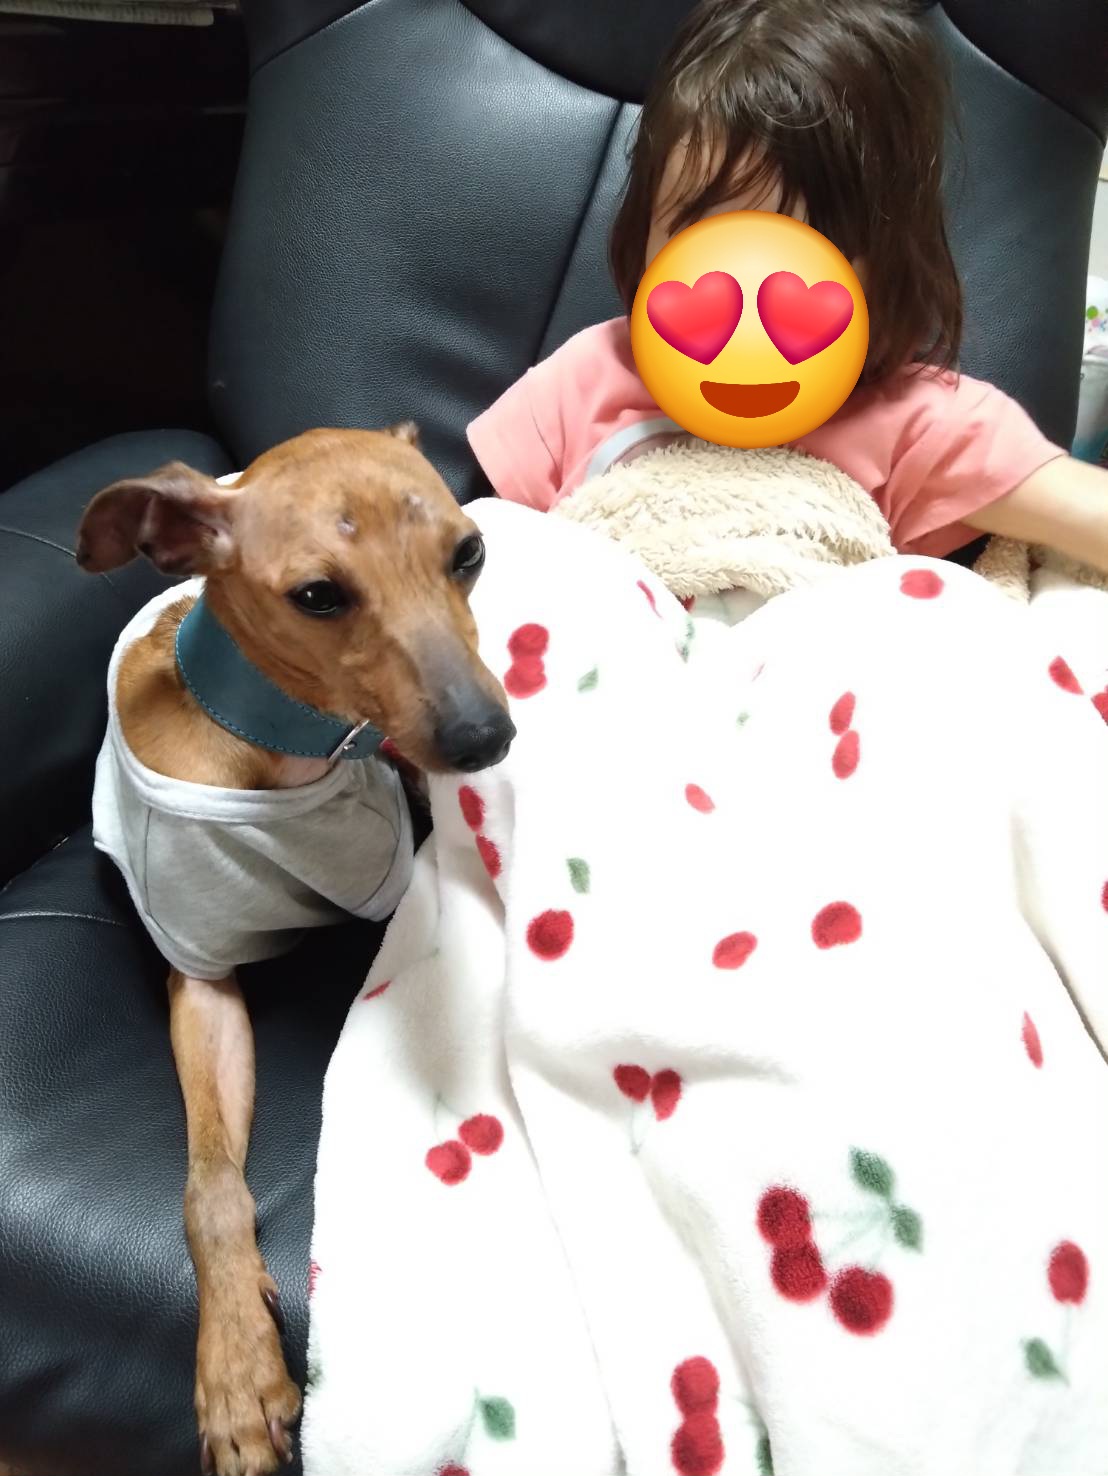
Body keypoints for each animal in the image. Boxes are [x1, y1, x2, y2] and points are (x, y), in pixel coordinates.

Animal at [76, 424, 515, 1476]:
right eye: (318, 594)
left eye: (468, 553)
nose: (485, 737)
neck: (286, 748)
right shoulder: (200, 975)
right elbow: (209, 1188)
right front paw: (238, 1371)